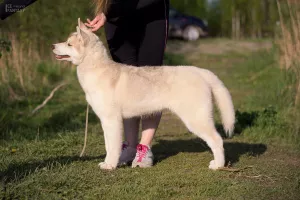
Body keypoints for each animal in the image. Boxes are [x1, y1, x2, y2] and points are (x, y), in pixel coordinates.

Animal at [52, 19, 234, 170]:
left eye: (69, 44)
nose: (53, 45)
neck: (96, 68)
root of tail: (201, 72)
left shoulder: (112, 120)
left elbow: (112, 147)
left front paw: (110, 165)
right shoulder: (106, 121)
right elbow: (108, 145)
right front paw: (109, 162)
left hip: (196, 118)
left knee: (217, 140)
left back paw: (218, 165)